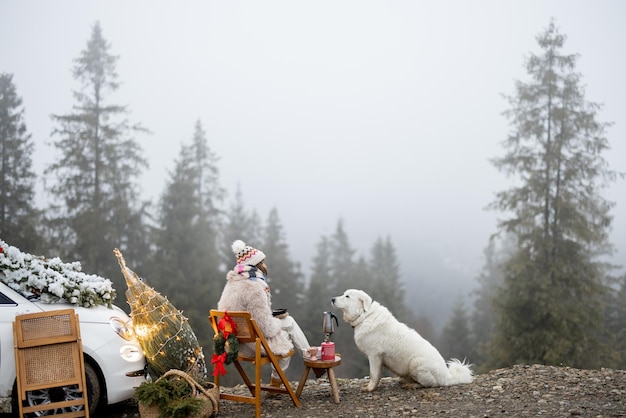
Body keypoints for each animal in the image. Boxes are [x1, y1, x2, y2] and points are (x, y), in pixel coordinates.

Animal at [332, 288, 468, 392]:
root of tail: (447, 376)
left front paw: (370, 388)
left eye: (347, 296)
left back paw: (412, 385)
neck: (364, 316)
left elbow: (373, 375)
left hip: (416, 363)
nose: (332, 299)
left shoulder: (375, 355)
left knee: (430, 384)